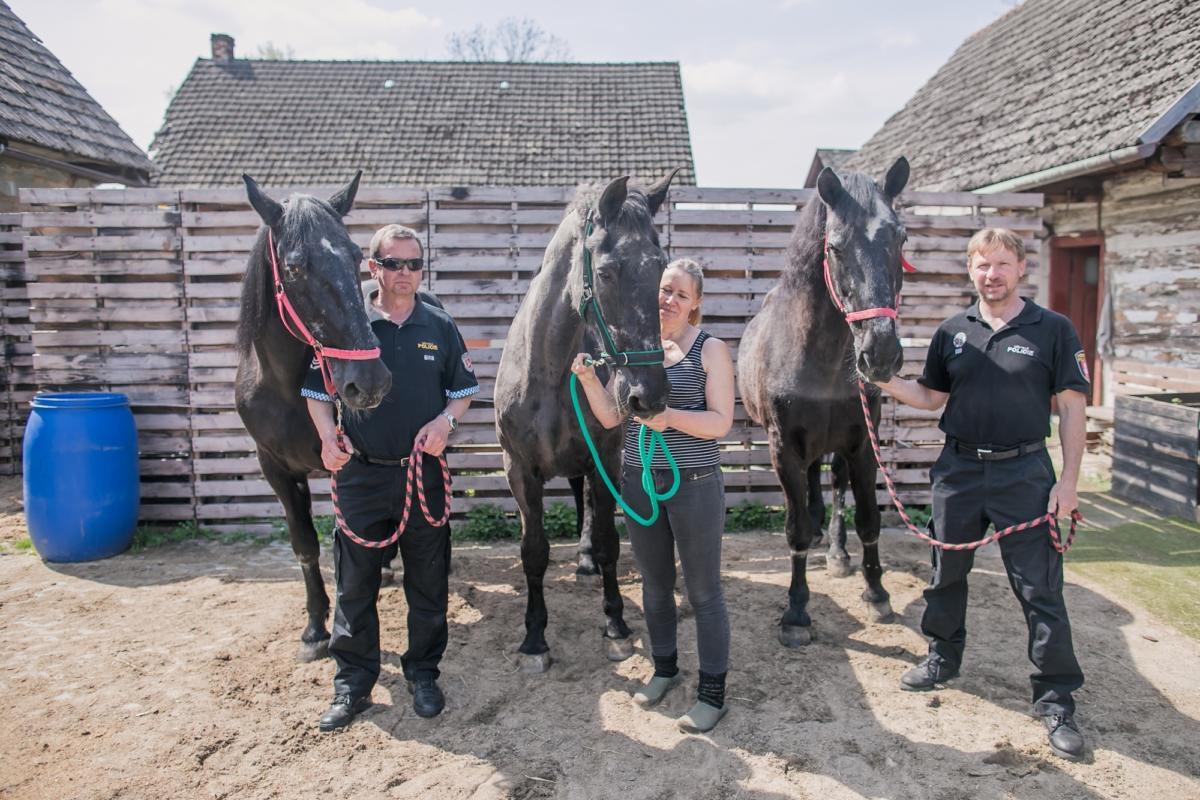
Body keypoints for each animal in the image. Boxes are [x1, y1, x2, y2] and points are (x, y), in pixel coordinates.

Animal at [237, 172, 393, 662]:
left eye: (354, 256)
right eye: (293, 268)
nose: (369, 382)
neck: (286, 389)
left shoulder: (344, 464)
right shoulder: (274, 467)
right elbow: (305, 543)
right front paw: (314, 628)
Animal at [494, 172, 676, 671]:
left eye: (661, 267)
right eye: (608, 271)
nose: (649, 394)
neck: (550, 369)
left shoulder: (606, 460)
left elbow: (610, 540)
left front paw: (615, 623)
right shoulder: (519, 471)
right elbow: (533, 552)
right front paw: (534, 638)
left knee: (589, 509)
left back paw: (587, 562)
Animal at [739, 159, 907, 647]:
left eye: (901, 238)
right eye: (834, 246)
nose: (881, 353)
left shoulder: (863, 446)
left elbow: (868, 519)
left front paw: (876, 593)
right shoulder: (784, 448)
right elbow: (793, 529)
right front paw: (796, 613)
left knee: (834, 484)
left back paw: (836, 551)